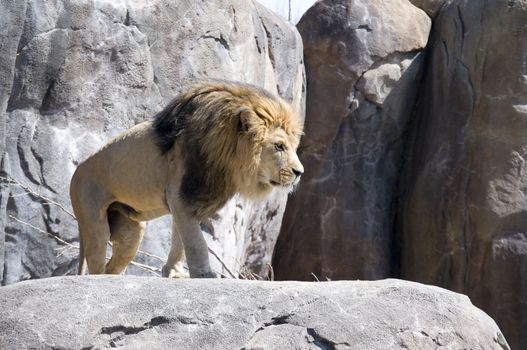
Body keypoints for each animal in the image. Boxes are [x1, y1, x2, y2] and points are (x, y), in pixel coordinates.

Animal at [69, 80, 306, 278]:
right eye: (279, 146)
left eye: (291, 146)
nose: (299, 172)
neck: (226, 163)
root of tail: (77, 171)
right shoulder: (182, 197)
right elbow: (195, 242)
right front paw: (204, 274)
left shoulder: (190, 201)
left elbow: (179, 241)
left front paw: (173, 273)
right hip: (94, 221)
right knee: (96, 261)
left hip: (132, 230)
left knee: (112, 265)